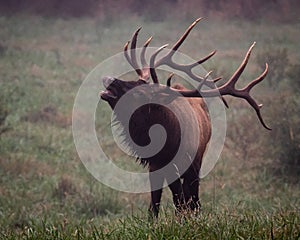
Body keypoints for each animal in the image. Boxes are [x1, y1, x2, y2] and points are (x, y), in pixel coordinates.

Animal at [100, 18, 270, 218]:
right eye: (133, 81)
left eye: (139, 92)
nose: (108, 78)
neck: (167, 143)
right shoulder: (155, 167)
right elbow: (155, 206)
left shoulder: (192, 166)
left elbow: (188, 202)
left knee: (190, 199)